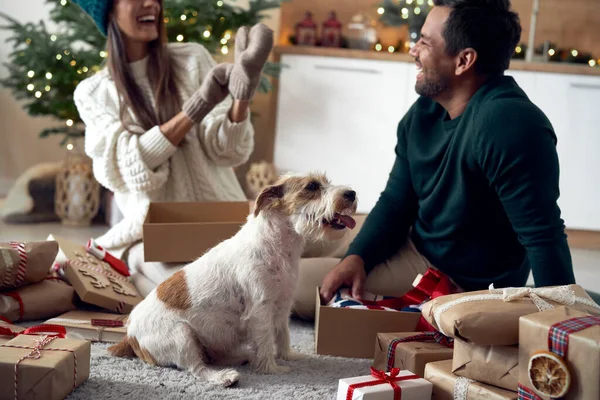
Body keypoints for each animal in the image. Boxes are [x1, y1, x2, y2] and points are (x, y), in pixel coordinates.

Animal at [109, 172, 356, 388]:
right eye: (312, 186)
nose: (352, 193)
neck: (278, 247)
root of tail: (129, 334)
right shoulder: (261, 312)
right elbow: (266, 342)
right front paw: (272, 369)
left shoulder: (283, 306)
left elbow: (283, 336)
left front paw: (289, 356)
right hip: (183, 336)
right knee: (198, 368)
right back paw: (225, 377)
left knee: (211, 357)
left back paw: (242, 357)